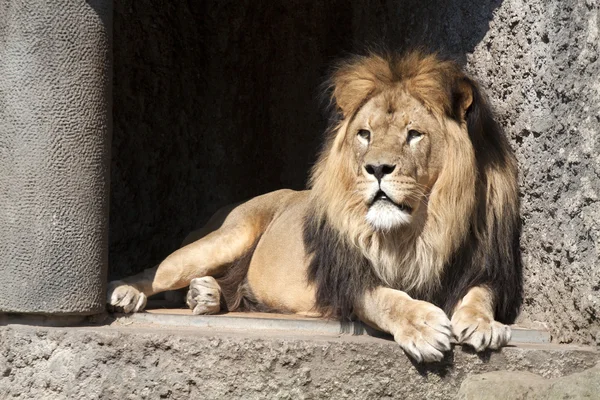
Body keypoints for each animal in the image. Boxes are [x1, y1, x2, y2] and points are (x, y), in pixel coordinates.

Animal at [106, 50, 520, 362]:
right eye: (364, 134)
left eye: (414, 134)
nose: (377, 169)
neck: (418, 229)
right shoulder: (351, 280)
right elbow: (387, 299)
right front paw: (422, 325)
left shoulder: (483, 265)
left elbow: (480, 294)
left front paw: (482, 323)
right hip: (228, 236)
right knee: (160, 268)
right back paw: (126, 290)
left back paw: (206, 295)